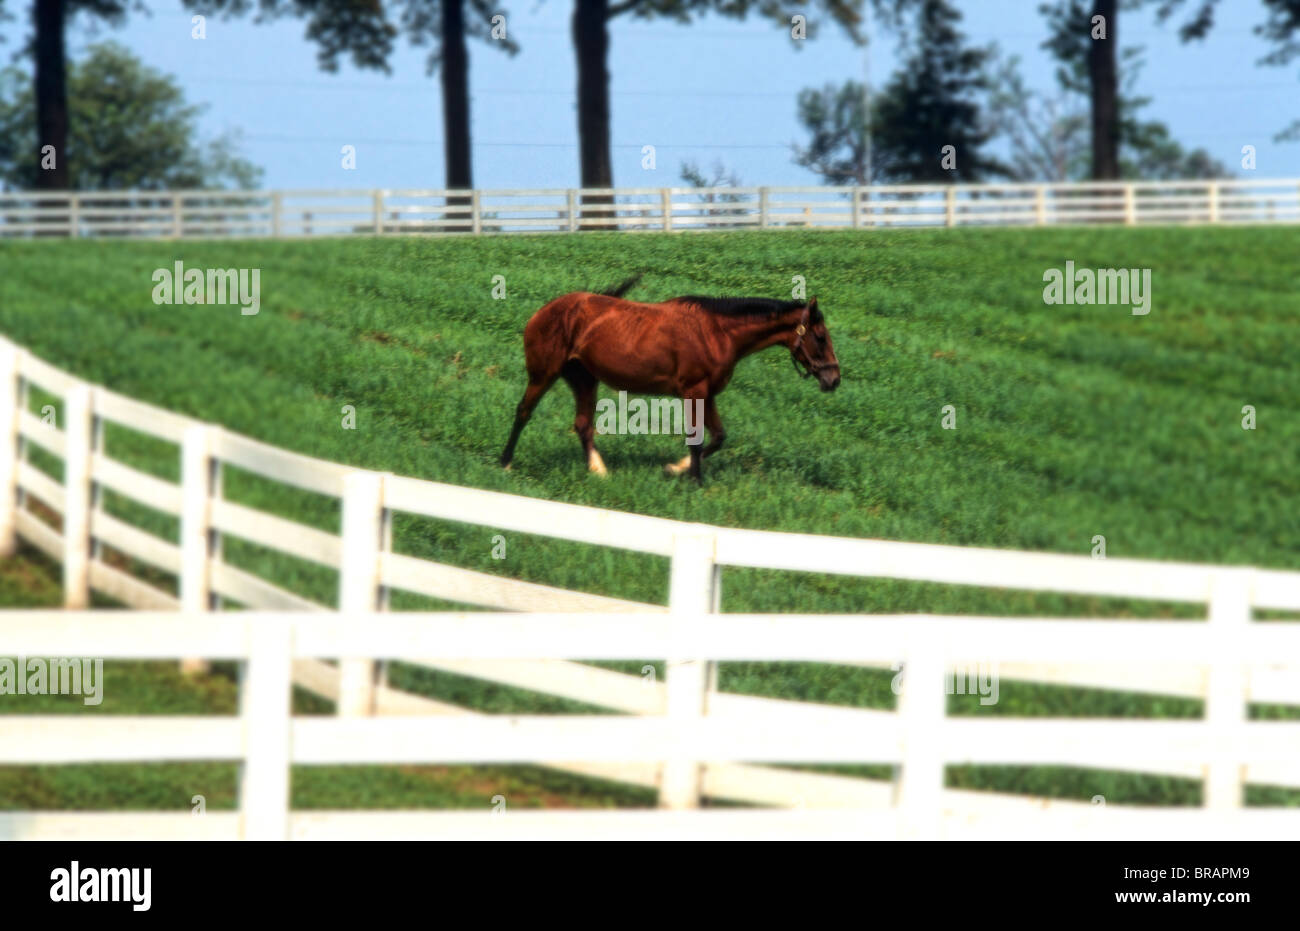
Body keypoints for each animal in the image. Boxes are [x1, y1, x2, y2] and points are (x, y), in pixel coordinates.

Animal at [499, 277, 840, 483]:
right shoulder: (693, 391)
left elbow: (718, 437)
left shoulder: (707, 395)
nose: (834, 379)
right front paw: (695, 480)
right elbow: (697, 439)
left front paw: (676, 468)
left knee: (583, 425)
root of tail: (542, 313)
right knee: (523, 412)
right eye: (821, 337)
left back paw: (598, 471)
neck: (716, 332)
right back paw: (505, 462)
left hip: (584, 379)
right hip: (544, 373)